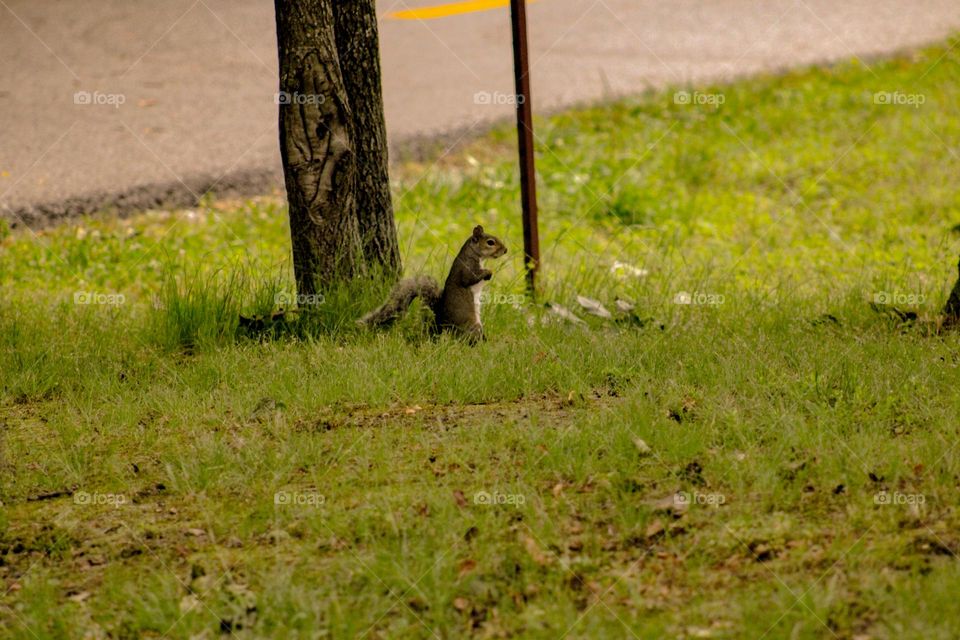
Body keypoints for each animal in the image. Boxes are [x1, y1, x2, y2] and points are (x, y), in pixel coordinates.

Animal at [359, 225, 507, 342]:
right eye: (490, 242)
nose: (505, 250)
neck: (475, 255)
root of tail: (441, 324)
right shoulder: (467, 268)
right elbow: (469, 278)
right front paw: (488, 272)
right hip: (472, 325)